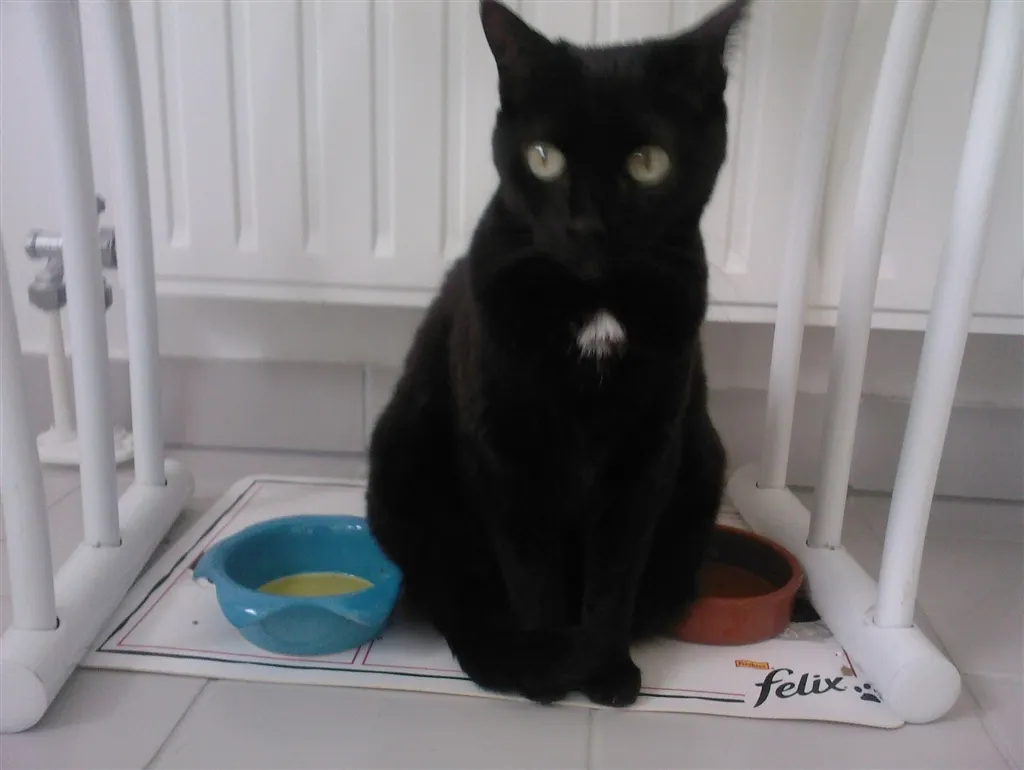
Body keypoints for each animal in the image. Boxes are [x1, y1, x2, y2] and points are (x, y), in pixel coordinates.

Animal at [366, 0, 748, 708]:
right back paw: (502, 658)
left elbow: (614, 580)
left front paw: (605, 669)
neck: (592, 308)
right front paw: (553, 673)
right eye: (544, 158)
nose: (587, 225)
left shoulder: (645, 457)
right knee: (453, 598)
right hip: (402, 463)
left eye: (647, 162)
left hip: (703, 461)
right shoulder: (507, 452)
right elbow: (533, 574)